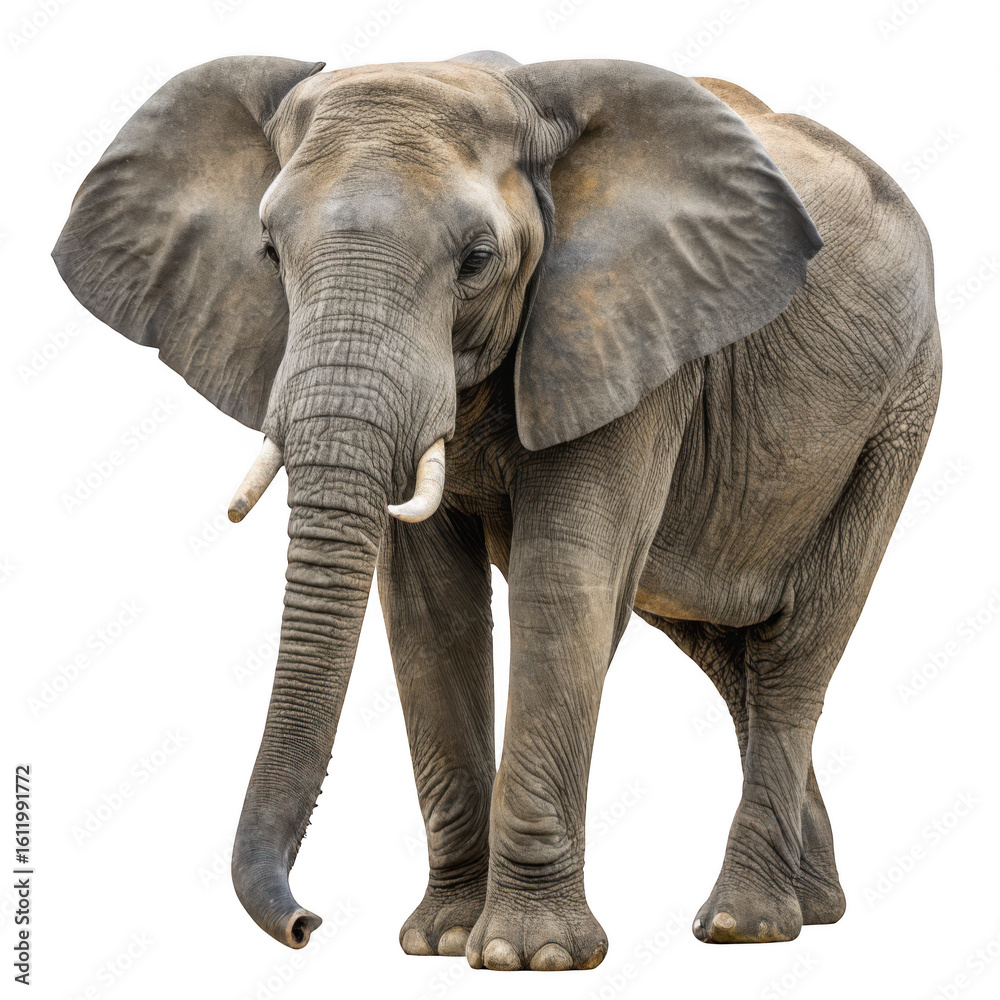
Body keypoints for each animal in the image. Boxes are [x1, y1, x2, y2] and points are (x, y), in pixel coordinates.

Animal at [52, 50, 942, 971]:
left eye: (478, 259)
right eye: (267, 252)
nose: (307, 924)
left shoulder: (619, 330)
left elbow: (564, 585)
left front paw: (531, 955)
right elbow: (427, 611)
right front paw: (442, 940)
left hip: (897, 412)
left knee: (795, 651)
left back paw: (745, 924)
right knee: (726, 652)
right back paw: (814, 906)